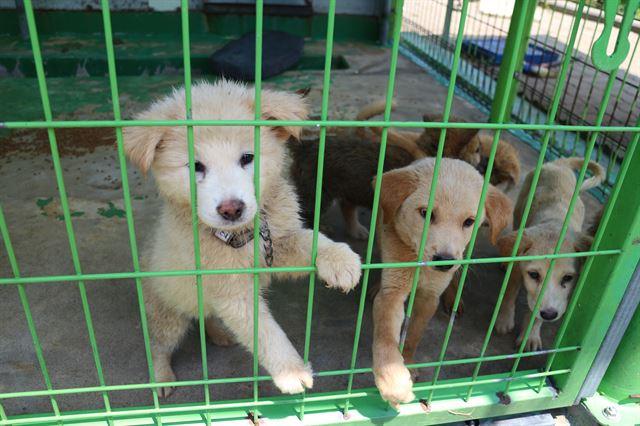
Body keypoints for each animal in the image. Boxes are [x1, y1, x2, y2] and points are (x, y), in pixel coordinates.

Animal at [123, 81, 362, 398]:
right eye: (196, 166)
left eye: (247, 158)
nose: (231, 209)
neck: (244, 234)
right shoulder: (232, 291)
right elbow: (264, 332)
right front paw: (292, 371)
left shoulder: (276, 244)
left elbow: (309, 238)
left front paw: (340, 260)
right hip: (167, 312)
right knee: (158, 344)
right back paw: (161, 378)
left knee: (206, 314)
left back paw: (219, 333)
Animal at [370, 158, 510, 408]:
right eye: (425, 213)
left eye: (469, 221)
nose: (445, 261)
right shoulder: (393, 291)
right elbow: (385, 332)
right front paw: (392, 379)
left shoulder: (429, 298)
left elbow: (414, 335)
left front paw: (408, 363)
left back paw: (454, 298)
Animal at [496, 156, 604, 350]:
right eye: (533, 274)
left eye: (568, 278)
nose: (550, 315)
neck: (555, 225)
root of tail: (559, 163)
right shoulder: (517, 270)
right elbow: (509, 294)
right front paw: (504, 320)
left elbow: (537, 314)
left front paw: (530, 335)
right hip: (519, 209)